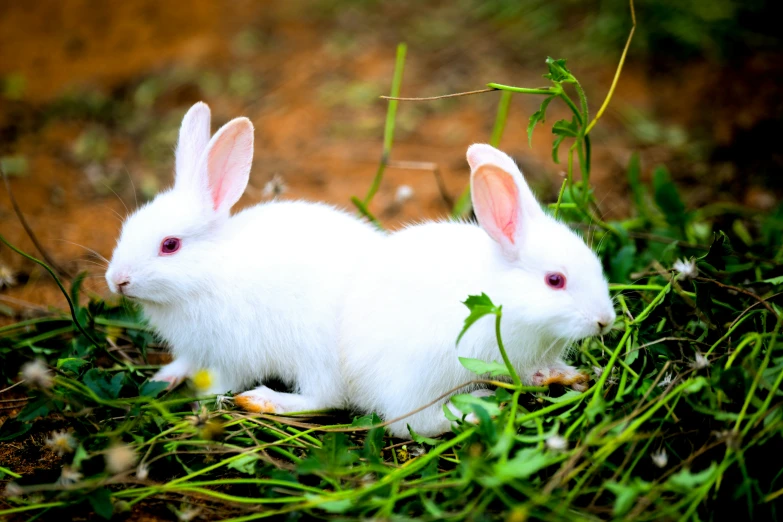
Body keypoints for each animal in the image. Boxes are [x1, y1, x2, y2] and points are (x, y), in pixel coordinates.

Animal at [106, 100, 382, 410]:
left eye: (170, 245)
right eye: (128, 226)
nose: (117, 281)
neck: (209, 273)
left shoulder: (235, 354)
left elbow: (225, 380)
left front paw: (202, 402)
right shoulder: (195, 348)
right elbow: (186, 362)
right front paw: (164, 377)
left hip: (316, 355)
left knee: (322, 398)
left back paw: (262, 400)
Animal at [340, 142, 616, 434]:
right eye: (555, 280)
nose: (605, 321)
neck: (508, 296)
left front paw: (569, 375)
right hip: (419, 377)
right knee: (412, 422)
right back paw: (476, 408)